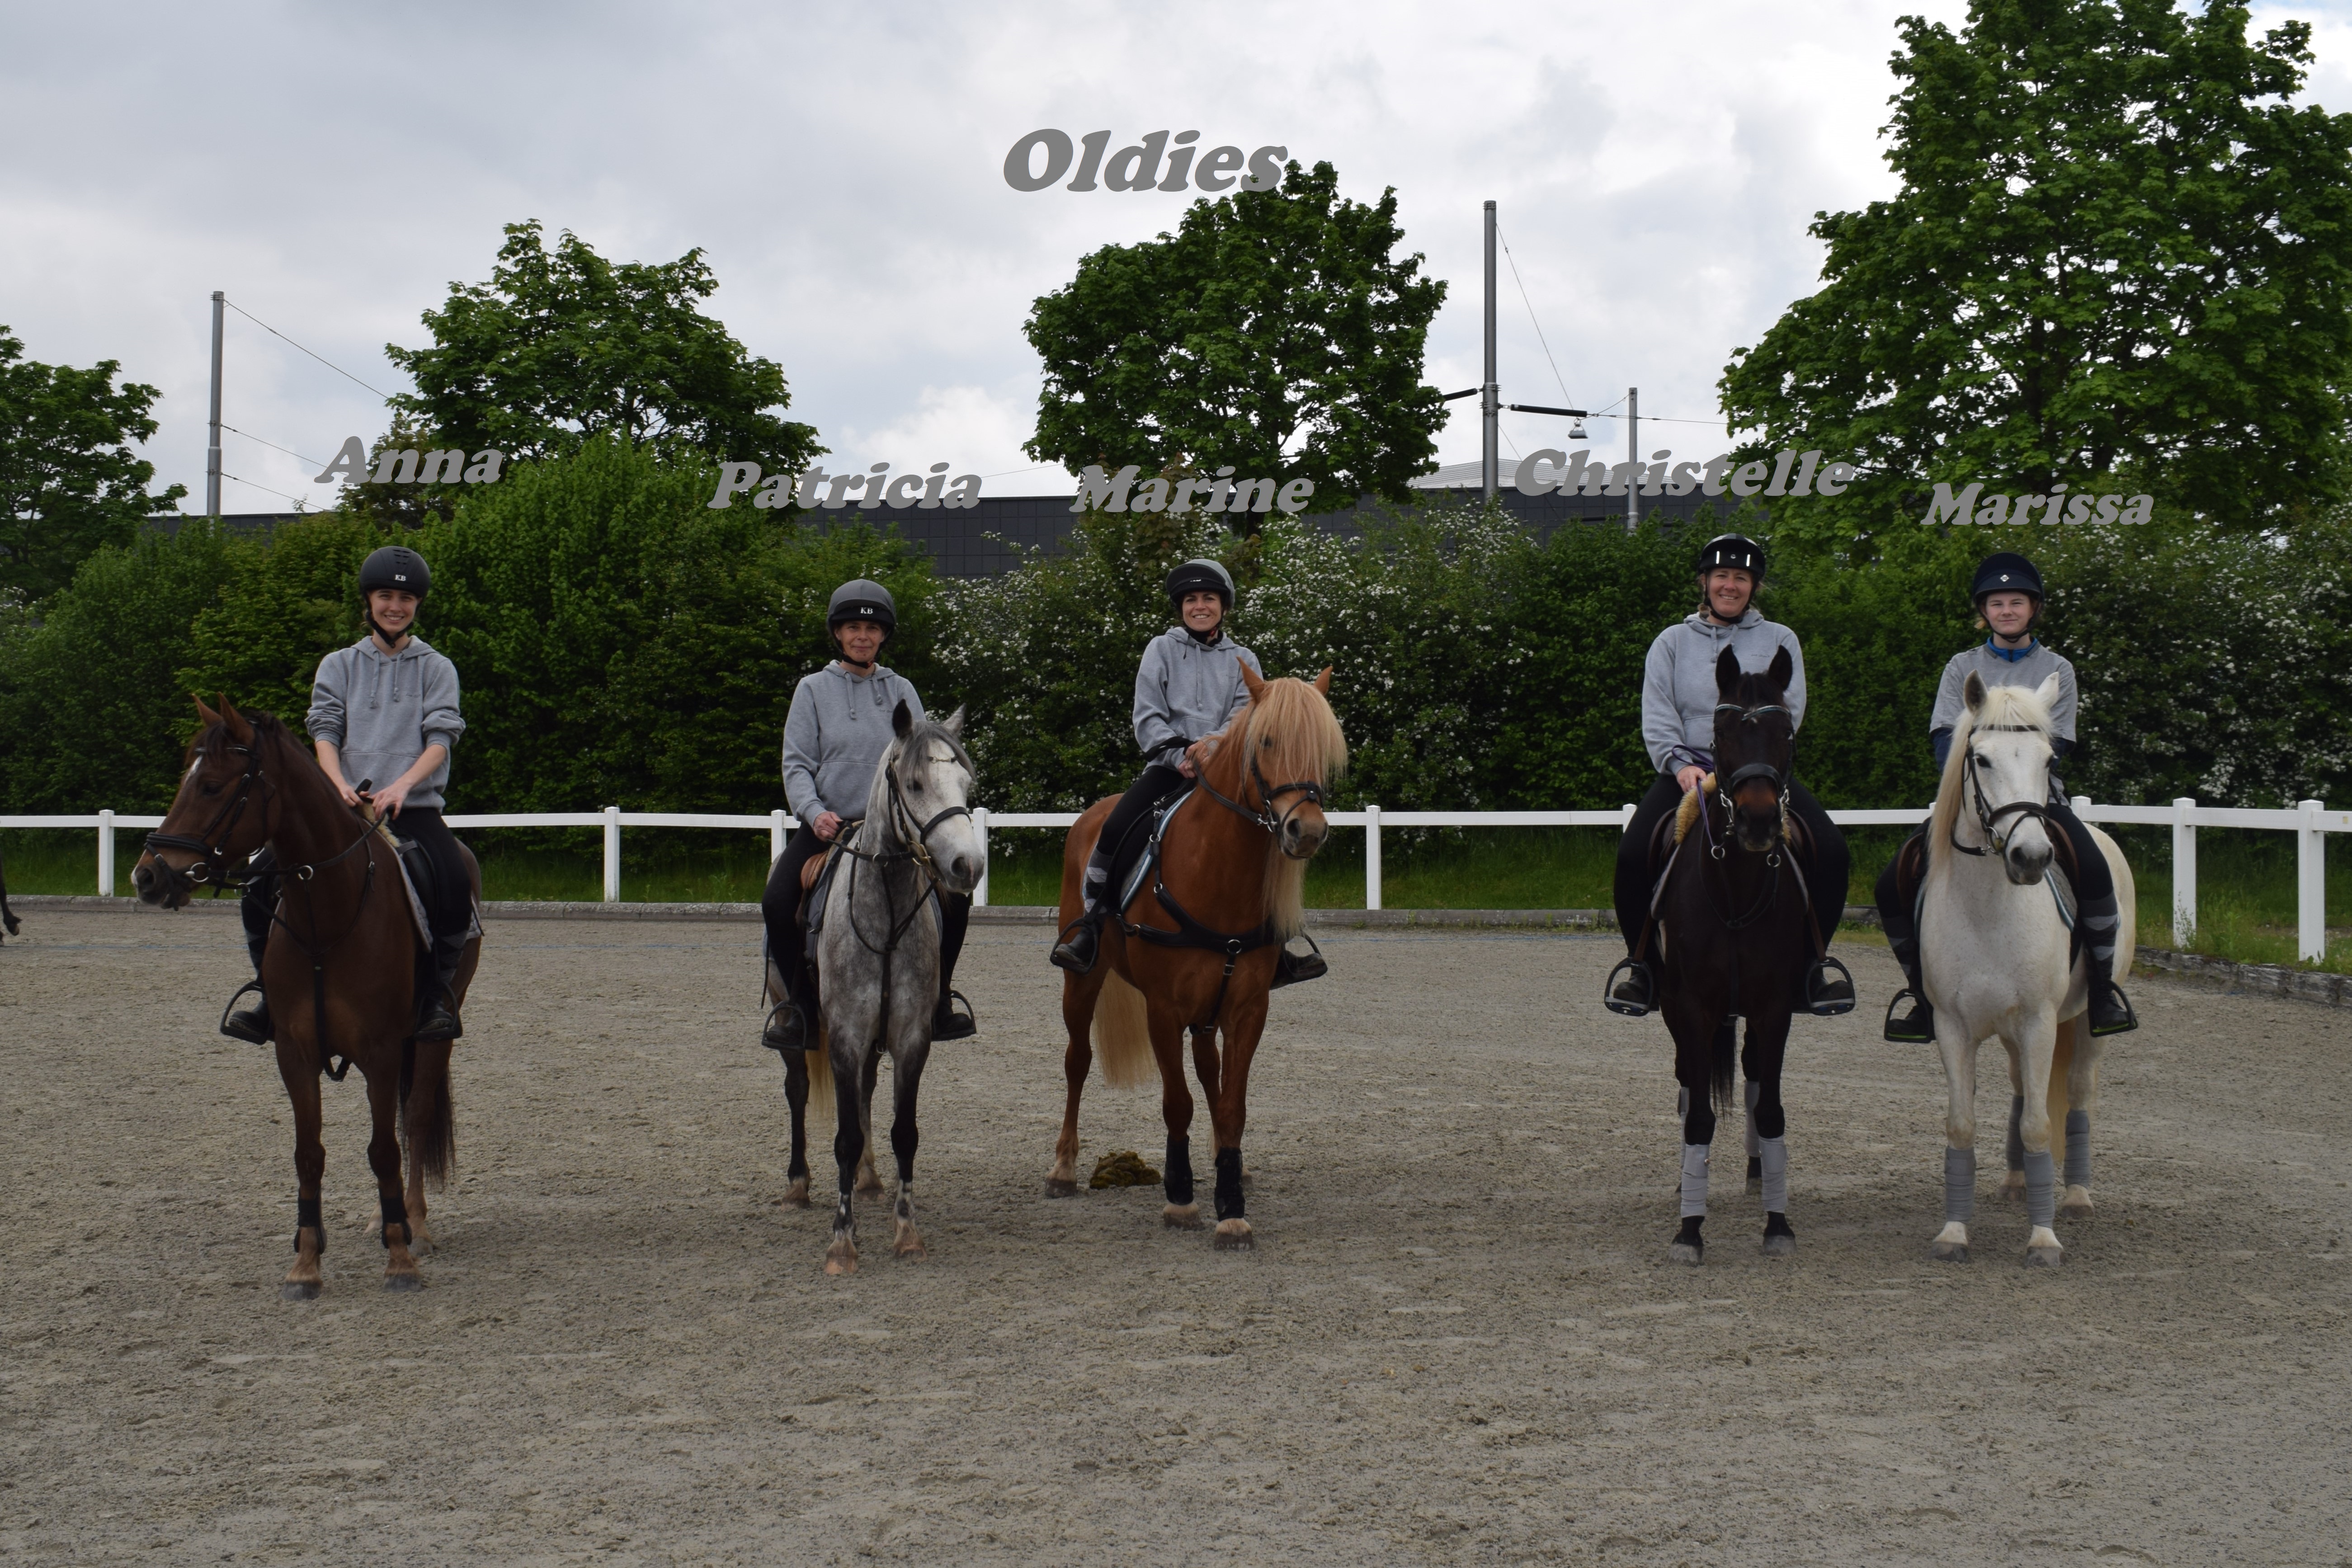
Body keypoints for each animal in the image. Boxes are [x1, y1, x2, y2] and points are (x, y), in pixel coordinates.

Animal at [131, 698, 481, 1296]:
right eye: (185, 781)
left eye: (213, 786)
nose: (148, 876)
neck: (328, 908)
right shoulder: (294, 1052)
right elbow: (308, 1154)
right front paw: (307, 1263)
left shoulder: (383, 1049)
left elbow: (384, 1147)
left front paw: (399, 1257)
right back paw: (380, 1217)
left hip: (432, 1036)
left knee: (412, 1119)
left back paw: (413, 1222)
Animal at [801, 701, 981, 1277]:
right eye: (916, 782)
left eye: (966, 784)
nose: (968, 866)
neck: (883, 911)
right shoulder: (844, 1037)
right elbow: (844, 1135)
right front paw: (841, 1240)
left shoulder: (908, 1038)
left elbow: (903, 1130)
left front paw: (906, 1232)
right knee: (797, 1092)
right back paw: (797, 1183)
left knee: (863, 1095)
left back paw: (869, 1179)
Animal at [1048, 664, 1346, 1250]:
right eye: (1267, 740)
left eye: (1321, 748)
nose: (1306, 830)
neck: (1217, 869)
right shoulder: (1162, 1009)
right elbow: (1176, 1102)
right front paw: (1181, 1198)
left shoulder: (1247, 1008)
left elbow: (1231, 1102)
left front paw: (1231, 1205)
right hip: (1084, 982)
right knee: (1078, 1061)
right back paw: (1064, 1168)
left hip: (1209, 1007)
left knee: (1209, 1070)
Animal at [1646, 647, 1838, 1267]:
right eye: (1722, 731)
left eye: (1786, 731)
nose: (1757, 821)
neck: (1734, 888)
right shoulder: (1690, 1005)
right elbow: (1700, 1112)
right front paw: (1689, 1230)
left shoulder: (1774, 1005)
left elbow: (1771, 1107)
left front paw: (1777, 1222)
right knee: (1690, 1080)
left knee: (1755, 1074)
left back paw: (1758, 1175)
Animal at [1920, 671, 2135, 1267]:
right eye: (1982, 759)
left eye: (2048, 758)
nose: (2032, 858)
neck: (1989, 909)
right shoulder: (1953, 1026)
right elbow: (1962, 1125)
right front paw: (1952, 1233)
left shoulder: (2041, 1022)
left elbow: (2041, 1126)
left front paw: (2043, 1240)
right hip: (2012, 1031)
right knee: (2021, 1089)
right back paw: (2016, 1183)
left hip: (2083, 1025)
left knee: (2079, 1093)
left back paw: (2077, 1197)